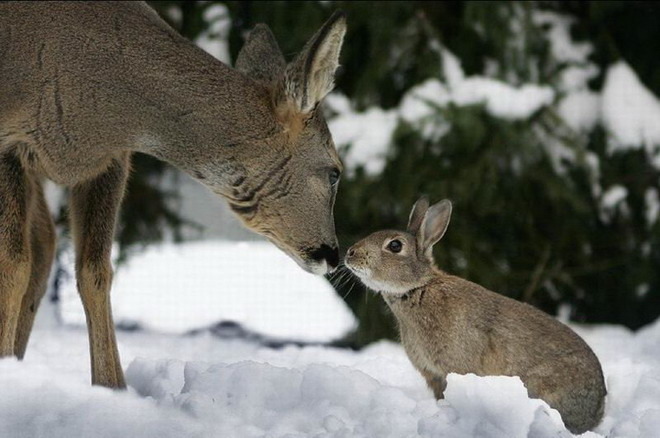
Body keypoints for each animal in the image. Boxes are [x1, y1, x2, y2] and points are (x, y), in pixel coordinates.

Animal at [0, 1, 348, 388]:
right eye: (335, 171)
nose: (332, 254)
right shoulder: (10, 141)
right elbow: (13, 264)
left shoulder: (110, 161)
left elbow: (95, 272)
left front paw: (112, 387)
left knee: (44, 242)